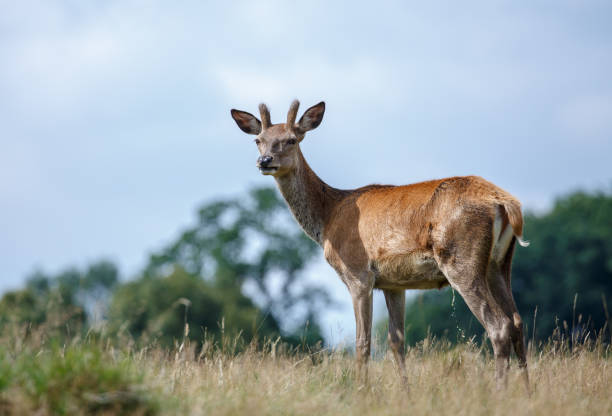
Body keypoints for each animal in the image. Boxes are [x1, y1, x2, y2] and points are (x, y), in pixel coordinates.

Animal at [231, 98, 532, 390]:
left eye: (292, 139)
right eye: (258, 140)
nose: (265, 160)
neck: (328, 218)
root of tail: (505, 203)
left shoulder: (358, 274)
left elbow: (363, 343)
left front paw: (361, 392)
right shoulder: (394, 283)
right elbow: (396, 341)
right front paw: (405, 393)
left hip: (461, 258)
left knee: (499, 326)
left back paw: (499, 392)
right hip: (499, 263)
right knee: (517, 322)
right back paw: (527, 392)